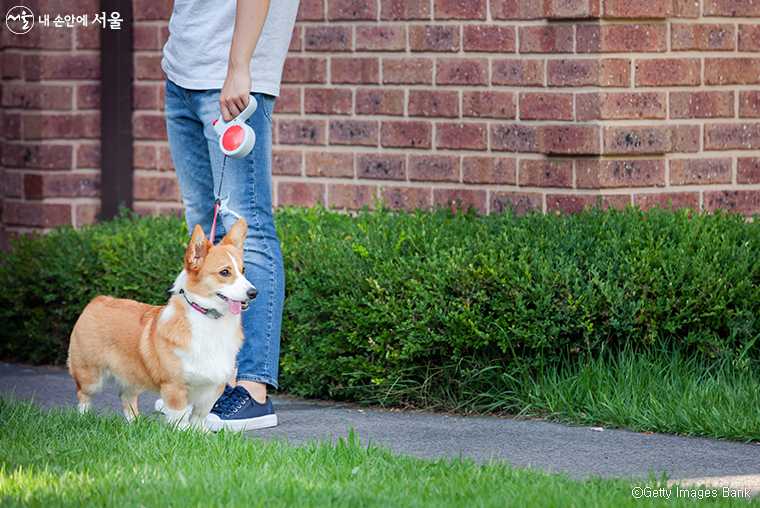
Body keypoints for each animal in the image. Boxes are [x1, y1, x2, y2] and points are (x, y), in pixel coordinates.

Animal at [67, 219, 255, 432]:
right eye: (224, 272)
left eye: (243, 270)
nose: (254, 292)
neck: (209, 319)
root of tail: (97, 300)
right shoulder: (174, 386)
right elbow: (181, 415)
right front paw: (183, 434)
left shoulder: (213, 387)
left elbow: (200, 415)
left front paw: (202, 434)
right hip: (90, 374)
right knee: (83, 394)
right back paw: (84, 419)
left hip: (132, 374)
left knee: (126, 395)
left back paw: (134, 423)